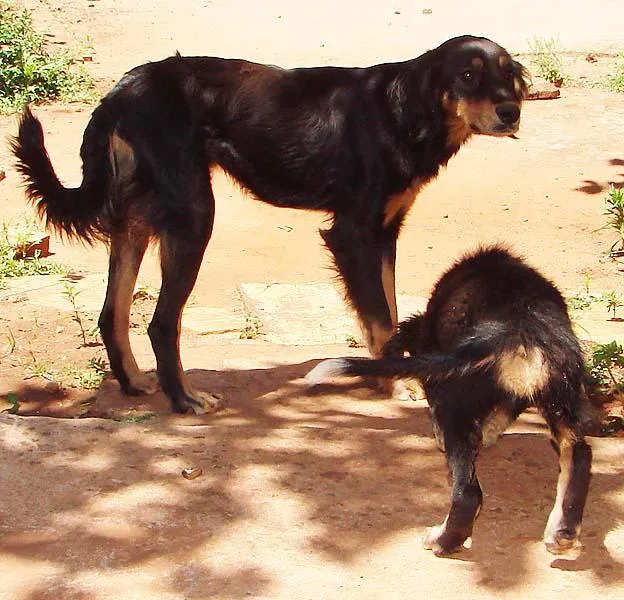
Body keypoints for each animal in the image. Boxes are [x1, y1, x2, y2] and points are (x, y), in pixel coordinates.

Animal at [12, 35, 528, 414]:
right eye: (467, 75)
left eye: (507, 74)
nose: (511, 112)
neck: (399, 108)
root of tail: (124, 88)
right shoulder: (354, 233)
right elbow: (382, 317)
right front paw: (397, 386)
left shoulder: (385, 233)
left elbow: (391, 311)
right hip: (194, 217)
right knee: (161, 322)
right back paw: (184, 399)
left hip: (138, 220)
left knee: (112, 312)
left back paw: (135, 382)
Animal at [310, 245, 592, 556]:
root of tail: (523, 328)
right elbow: (504, 412)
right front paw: (491, 431)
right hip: (562, 397)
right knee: (579, 455)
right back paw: (563, 534)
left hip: (457, 403)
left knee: (468, 493)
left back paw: (442, 541)